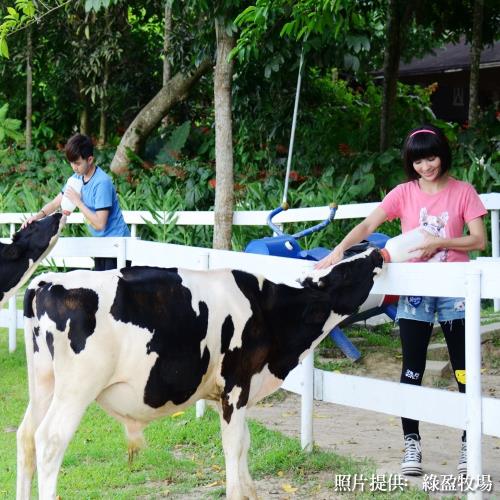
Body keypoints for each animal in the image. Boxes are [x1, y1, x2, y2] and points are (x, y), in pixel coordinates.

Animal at [15, 246, 382, 500]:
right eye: (348, 270)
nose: (375, 250)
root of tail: (48, 282)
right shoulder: (236, 383)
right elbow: (234, 445)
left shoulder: (234, 392)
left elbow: (244, 442)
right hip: (77, 387)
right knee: (49, 440)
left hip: (43, 382)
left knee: (25, 436)